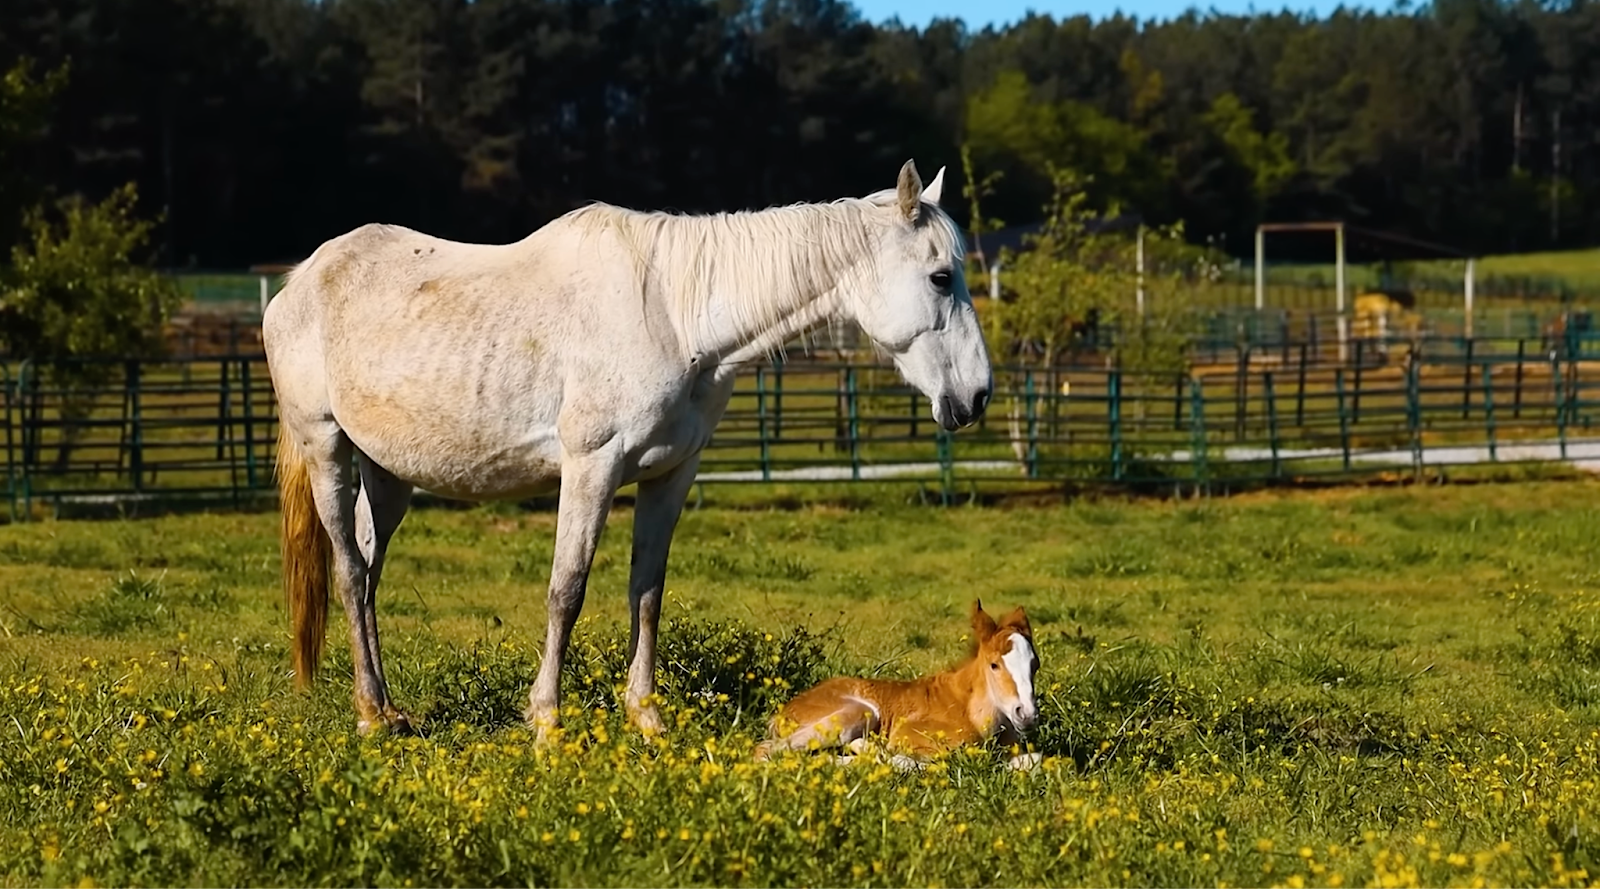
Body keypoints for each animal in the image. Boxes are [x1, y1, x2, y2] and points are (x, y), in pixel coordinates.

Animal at [263, 160, 994, 739]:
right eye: (939, 277)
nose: (978, 395)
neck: (675, 314)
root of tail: (299, 282)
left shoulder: (669, 474)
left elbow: (647, 590)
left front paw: (647, 717)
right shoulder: (592, 465)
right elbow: (567, 589)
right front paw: (547, 721)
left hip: (388, 476)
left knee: (368, 574)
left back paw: (389, 710)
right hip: (327, 448)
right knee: (349, 572)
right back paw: (368, 714)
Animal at [753, 600, 1040, 770]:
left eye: (1035, 664)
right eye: (994, 665)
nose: (1026, 713)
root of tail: (782, 712)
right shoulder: (911, 736)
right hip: (858, 711)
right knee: (767, 750)